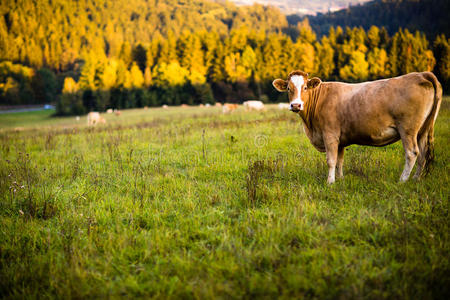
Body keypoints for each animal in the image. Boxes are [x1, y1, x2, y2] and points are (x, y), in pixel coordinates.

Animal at [272, 70, 442, 183]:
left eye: (305, 87)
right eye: (289, 88)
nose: (296, 105)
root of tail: (420, 74)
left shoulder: (330, 135)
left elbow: (331, 160)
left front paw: (330, 182)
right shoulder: (340, 139)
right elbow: (339, 160)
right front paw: (340, 179)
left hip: (408, 129)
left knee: (412, 153)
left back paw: (402, 180)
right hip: (423, 130)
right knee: (422, 155)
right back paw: (416, 179)